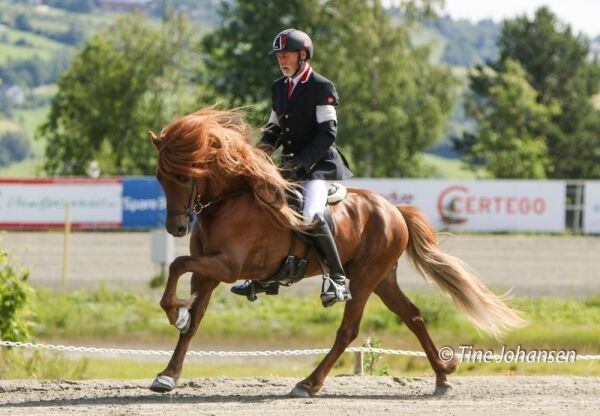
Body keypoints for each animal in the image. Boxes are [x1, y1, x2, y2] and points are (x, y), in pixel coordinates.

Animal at [149, 107, 524, 396]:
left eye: (185, 177)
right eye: (160, 178)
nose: (176, 229)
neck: (232, 199)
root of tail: (394, 209)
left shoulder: (227, 266)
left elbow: (177, 264)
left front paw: (173, 312)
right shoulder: (208, 272)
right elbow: (192, 319)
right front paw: (168, 372)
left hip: (365, 278)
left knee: (348, 331)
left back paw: (309, 383)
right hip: (383, 279)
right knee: (413, 316)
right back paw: (442, 377)